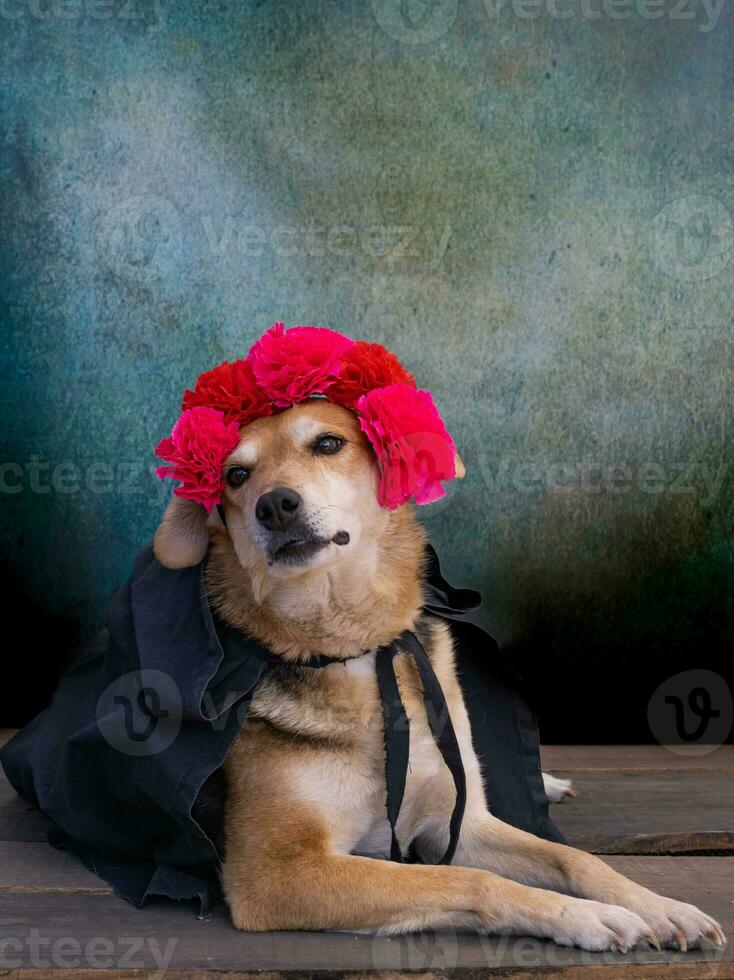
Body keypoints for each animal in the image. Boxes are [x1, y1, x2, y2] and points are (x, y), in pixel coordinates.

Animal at [154, 396, 724, 948]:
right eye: (235, 475)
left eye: (328, 443)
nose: (274, 506)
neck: (355, 644)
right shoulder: (276, 873)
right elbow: (467, 880)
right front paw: (585, 916)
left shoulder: (460, 821)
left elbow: (574, 857)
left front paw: (662, 907)